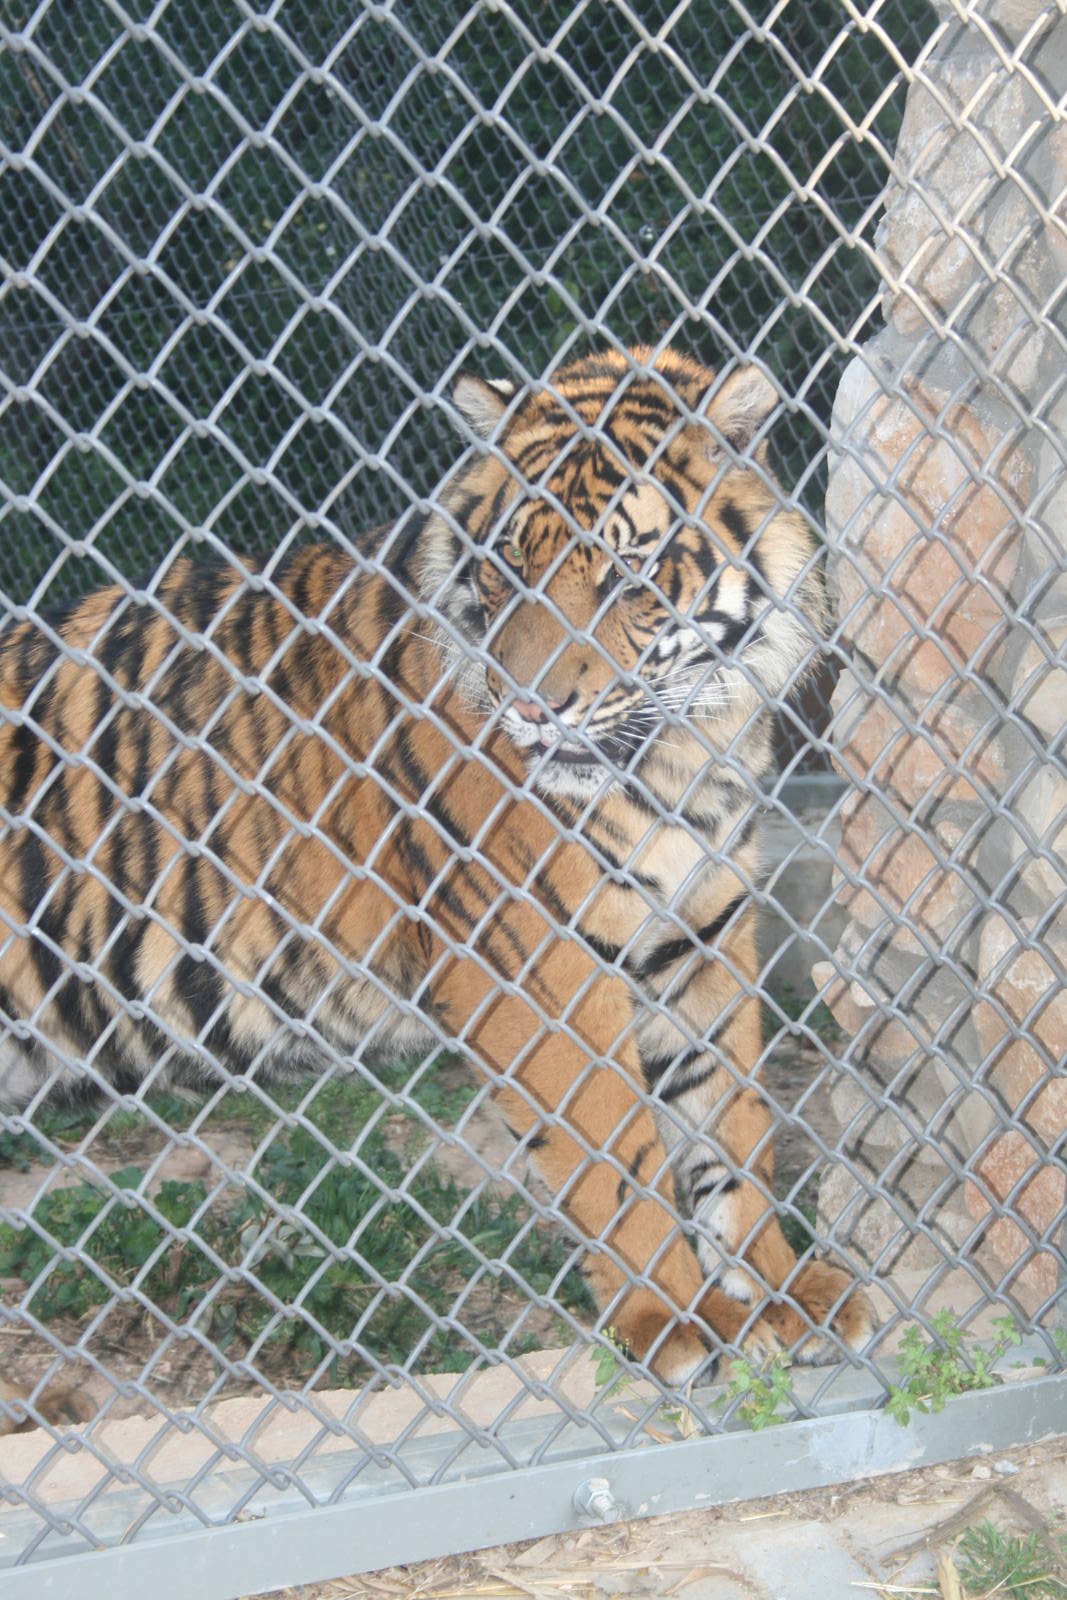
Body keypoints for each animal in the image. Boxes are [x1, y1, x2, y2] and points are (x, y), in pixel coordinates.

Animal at [0, 344, 873, 1400]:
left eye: (626, 575)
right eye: (507, 568)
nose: (534, 709)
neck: (677, 755)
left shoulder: (699, 932)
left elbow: (732, 1120)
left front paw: (780, 1293)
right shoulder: (541, 973)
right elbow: (616, 1154)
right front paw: (673, 1318)